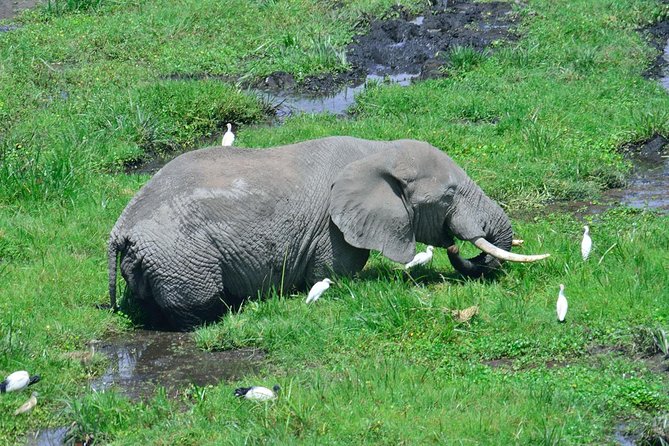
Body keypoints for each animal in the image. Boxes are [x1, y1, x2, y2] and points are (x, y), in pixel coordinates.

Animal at [108, 136, 549, 330]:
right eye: (449, 195)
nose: (455, 247)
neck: (377, 150)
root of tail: (120, 229)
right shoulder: (332, 229)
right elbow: (338, 272)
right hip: (182, 254)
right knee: (199, 307)